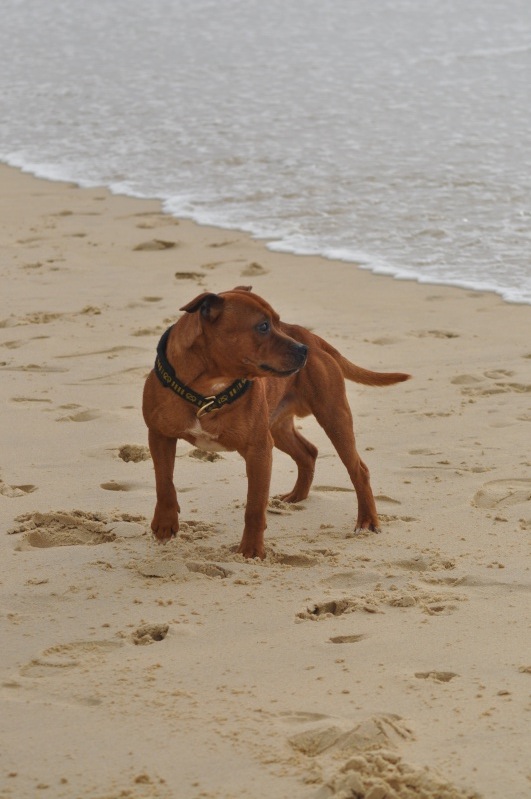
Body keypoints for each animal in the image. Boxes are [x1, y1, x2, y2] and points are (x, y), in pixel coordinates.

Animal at [142, 286, 412, 556]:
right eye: (263, 326)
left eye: (278, 322)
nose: (303, 350)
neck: (206, 389)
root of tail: (311, 337)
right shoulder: (159, 435)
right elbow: (164, 481)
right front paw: (165, 523)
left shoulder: (259, 450)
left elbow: (254, 506)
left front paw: (251, 550)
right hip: (279, 427)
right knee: (308, 453)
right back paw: (296, 497)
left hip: (335, 419)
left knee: (358, 469)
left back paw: (367, 520)